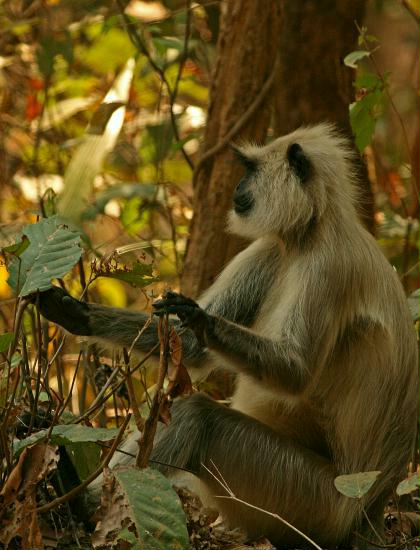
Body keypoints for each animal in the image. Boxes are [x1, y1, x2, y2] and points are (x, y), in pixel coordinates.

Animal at [38, 123, 416, 548]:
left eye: (250, 170)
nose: (237, 186)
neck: (309, 233)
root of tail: (372, 513)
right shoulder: (271, 247)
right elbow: (190, 347)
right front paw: (75, 313)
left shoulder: (328, 267)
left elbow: (295, 373)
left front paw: (198, 316)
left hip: (310, 501)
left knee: (198, 417)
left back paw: (85, 505)